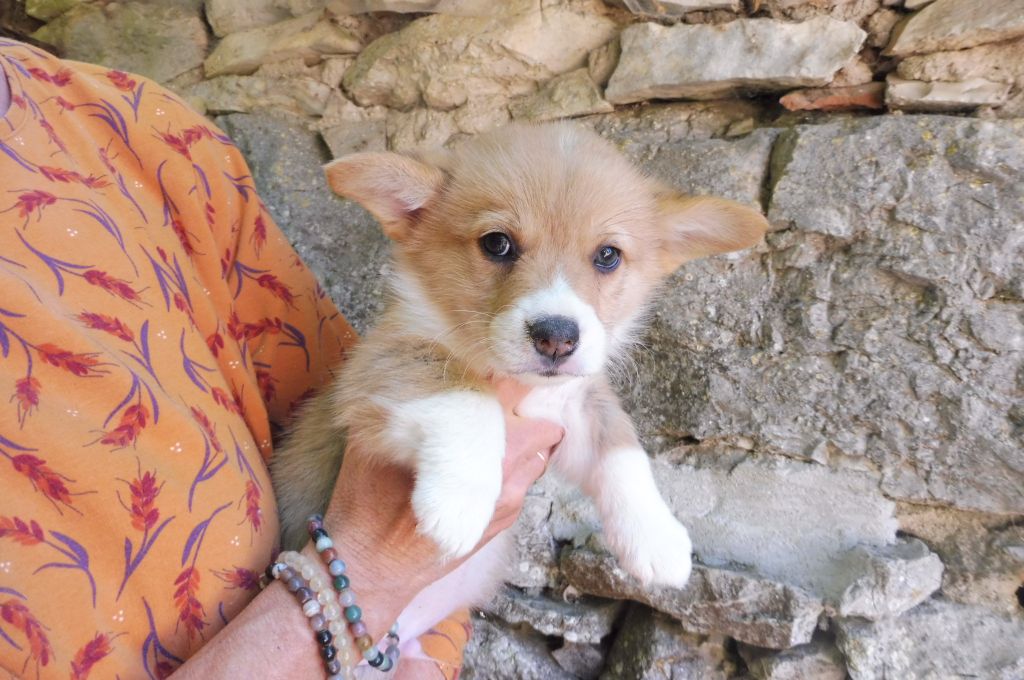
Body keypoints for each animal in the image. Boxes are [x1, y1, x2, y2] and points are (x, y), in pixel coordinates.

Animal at [271, 122, 768, 648]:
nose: (557, 337)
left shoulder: (578, 409)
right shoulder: (377, 369)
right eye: (497, 244)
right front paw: (459, 501)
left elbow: (623, 450)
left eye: (608, 255)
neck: (521, 382)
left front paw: (656, 537)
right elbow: (467, 397)